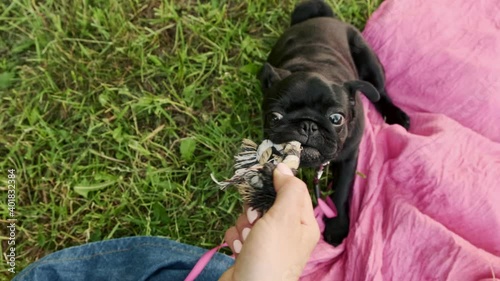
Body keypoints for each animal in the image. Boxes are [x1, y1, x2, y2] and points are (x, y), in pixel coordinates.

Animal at [260, 0, 408, 245]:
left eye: (336, 118)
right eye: (275, 117)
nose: (308, 125)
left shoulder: (349, 156)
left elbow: (341, 190)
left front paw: (337, 226)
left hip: (370, 63)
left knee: (381, 91)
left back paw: (396, 116)